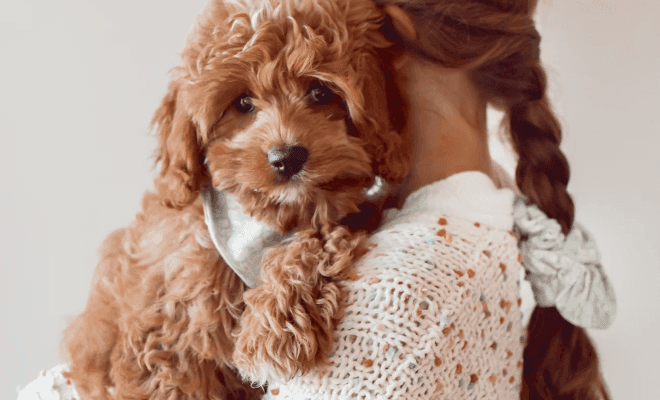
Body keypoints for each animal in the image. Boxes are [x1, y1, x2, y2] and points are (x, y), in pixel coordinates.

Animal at [64, 0, 410, 398]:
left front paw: (276, 325)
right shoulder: (162, 330)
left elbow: (316, 236)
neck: (258, 223)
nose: (286, 158)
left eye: (321, 93)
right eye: (242, 102)